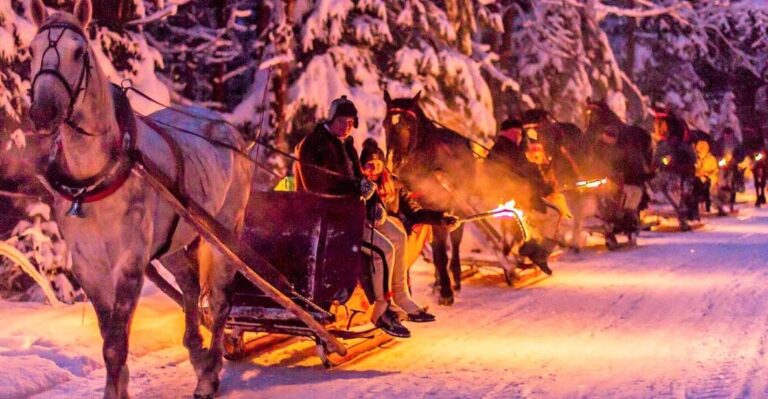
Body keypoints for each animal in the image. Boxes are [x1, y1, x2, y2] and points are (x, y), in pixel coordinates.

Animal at [27, 1, 254, 398]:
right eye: (31, 50)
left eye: (78, 52)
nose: (42, 113)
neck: (94, 181)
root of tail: (225, 125)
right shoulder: (88, 267)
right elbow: (108, 339)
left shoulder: (130, 262)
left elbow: (116, 345)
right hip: (175, 241)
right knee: (190, 286)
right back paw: (197, 354)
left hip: (225, 231)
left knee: (220, 300)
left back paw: (209, 373)